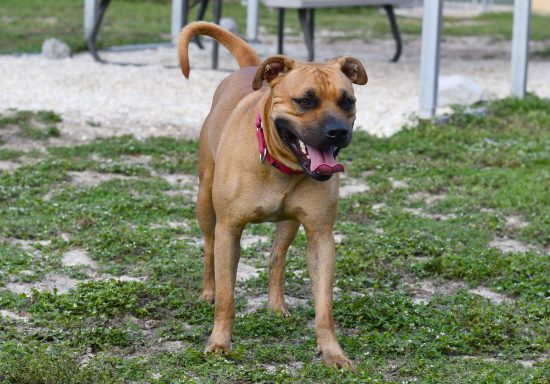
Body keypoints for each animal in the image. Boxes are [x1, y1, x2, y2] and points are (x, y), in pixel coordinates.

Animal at [181, 21, 368, 368]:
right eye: (305, 100)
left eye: (347, 101)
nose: (338, 131)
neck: (280, 165)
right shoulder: (229, 229)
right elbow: (227, 296)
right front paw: (219, 342)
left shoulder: (321, 236)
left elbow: (324, 305)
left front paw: (332, 351)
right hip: (205, 204)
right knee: (209, 248)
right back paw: (207, 291)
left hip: (289, 224)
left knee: (276, 257)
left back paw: (276, 306)